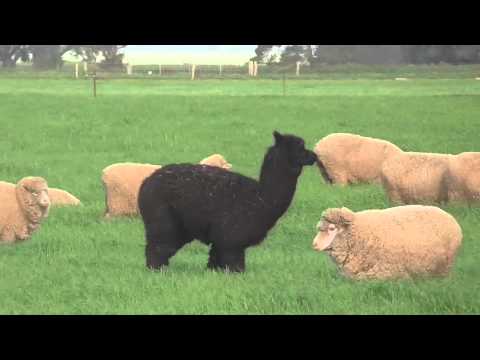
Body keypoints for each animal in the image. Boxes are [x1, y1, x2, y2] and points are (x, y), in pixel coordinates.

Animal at [139, 131, 318, 272]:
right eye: (300, 148)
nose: (315, 156)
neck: (261, 198)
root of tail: (145, 183)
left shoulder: (221, 240)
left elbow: (214, 262)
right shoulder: (232, 238)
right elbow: (235, 266)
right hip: (163, 220)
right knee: (158, 248)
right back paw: (158, 271)